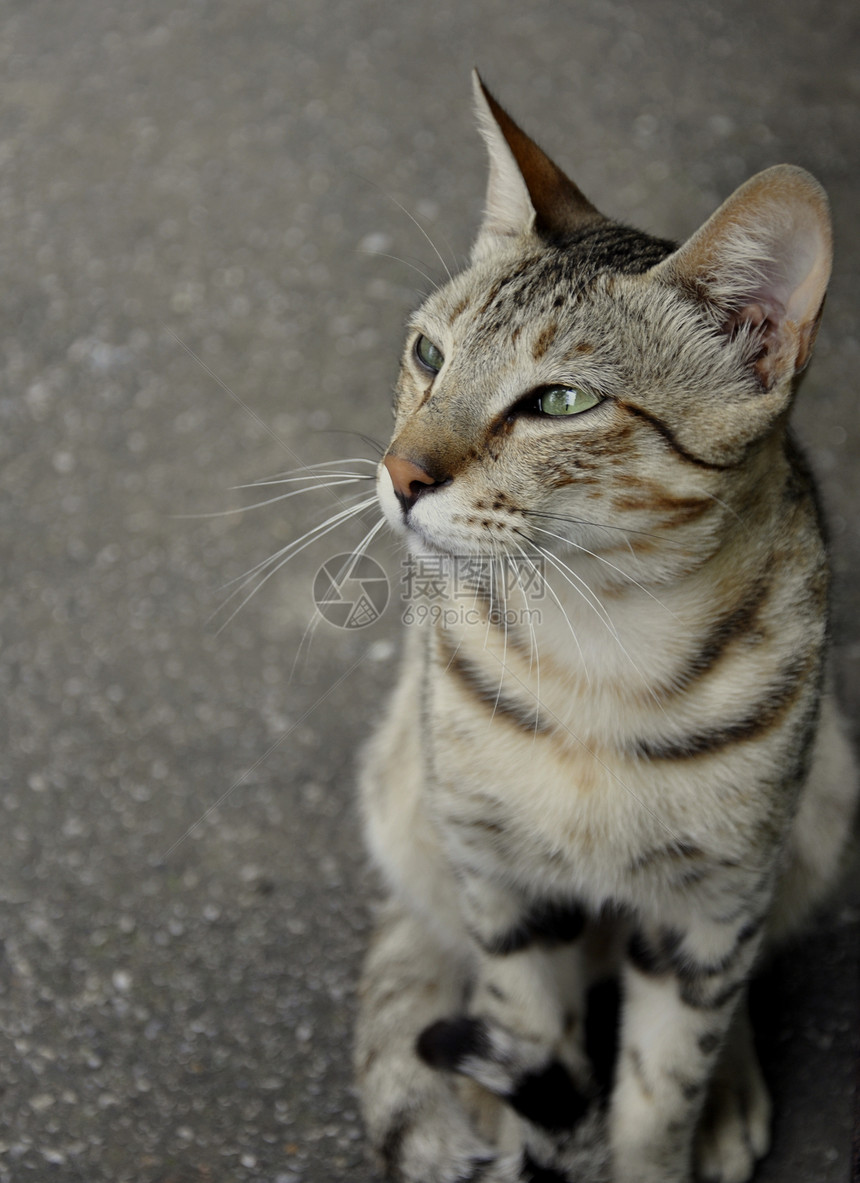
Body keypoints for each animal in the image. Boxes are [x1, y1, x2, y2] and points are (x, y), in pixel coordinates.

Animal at [347, 73, 856, 1183]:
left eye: (560, 401)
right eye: (427, 354)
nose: (400, 473)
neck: (597, 650)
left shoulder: (713, 905)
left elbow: (660, 1090)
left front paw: (669, 1126)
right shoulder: (505, 890)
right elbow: (529, 1026)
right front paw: (527, 1129)